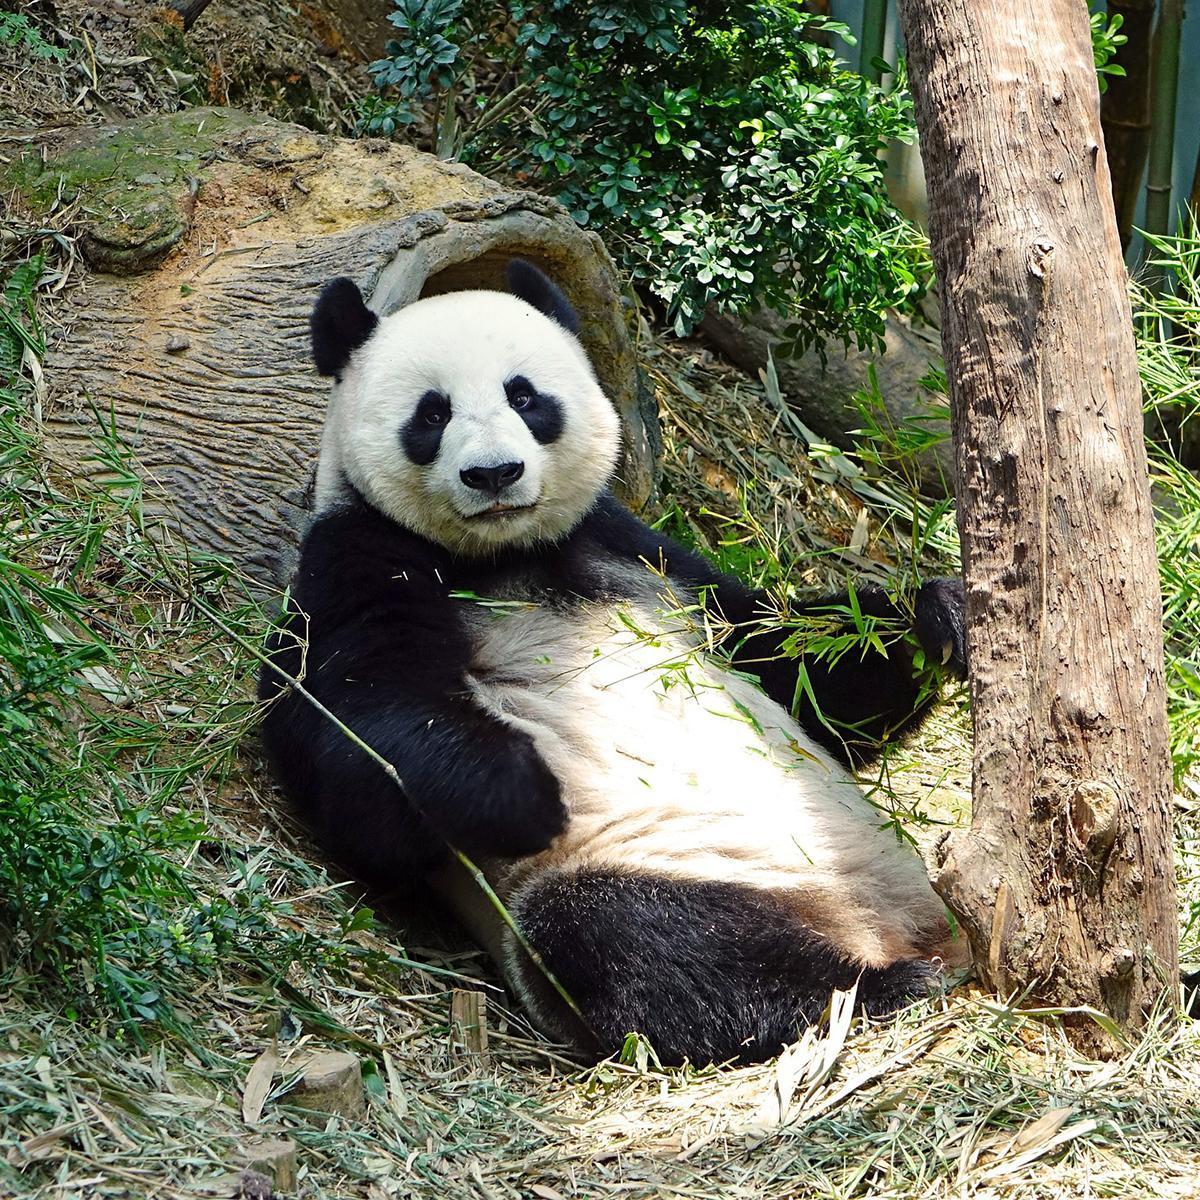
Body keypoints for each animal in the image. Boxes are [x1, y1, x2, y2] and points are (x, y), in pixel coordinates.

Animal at [258, 259, 969, 1066]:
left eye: (525, 396)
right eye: (431, 414)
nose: (494, 474)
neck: (504, 554)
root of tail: (876, 925)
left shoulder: (637, 549)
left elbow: (790, 665)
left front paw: (938, 617)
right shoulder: (356, 557)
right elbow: (351, 736)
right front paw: (520, 792)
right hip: (661, 863)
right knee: (642, 942)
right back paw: (874, 988)